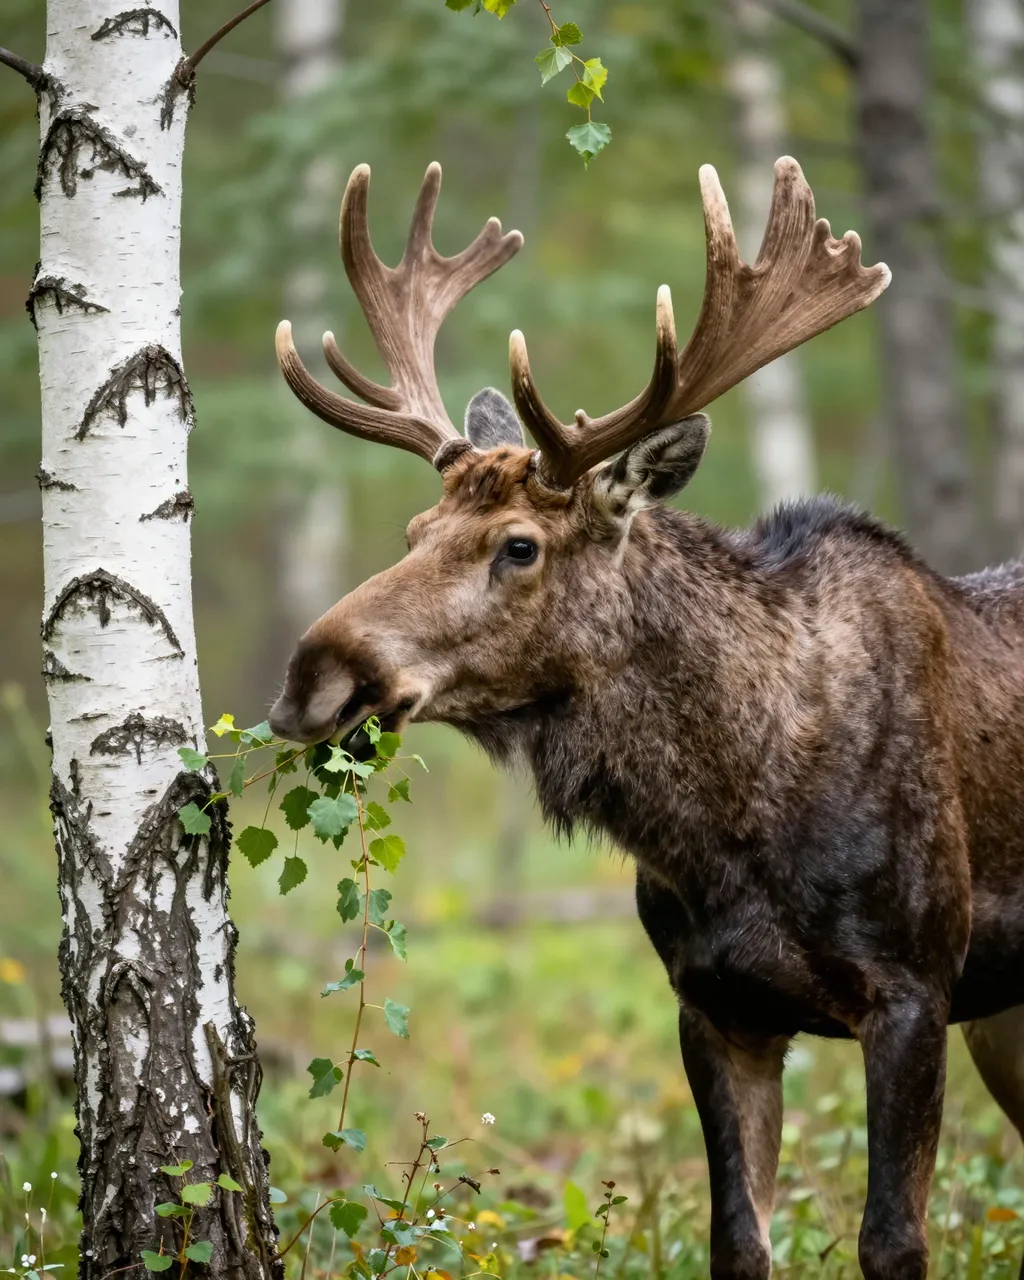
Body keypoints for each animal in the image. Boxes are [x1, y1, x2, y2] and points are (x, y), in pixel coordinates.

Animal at [267, 157, 1024, 1280]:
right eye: (413, 529)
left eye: (520, 545)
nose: (312, 675)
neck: (725, 819)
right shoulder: (713, 1003)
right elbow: (738, 1240)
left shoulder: (912, 986)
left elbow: (891, 1241)